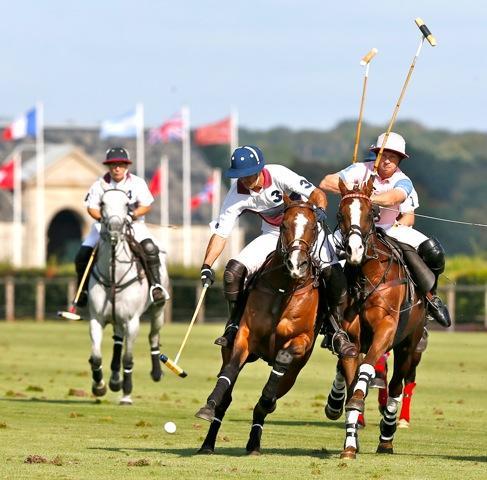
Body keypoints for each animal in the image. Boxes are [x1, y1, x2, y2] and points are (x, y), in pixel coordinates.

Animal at [87, 188, 170, 404]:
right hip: (117, 317)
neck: (114, 275)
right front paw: (99, 386)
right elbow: (97, 357)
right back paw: (114, 379)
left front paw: (126, 393)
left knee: (153, 336)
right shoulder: (96, 319)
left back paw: (156, 372)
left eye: (127, 204)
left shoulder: (132, 321)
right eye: (102, 203)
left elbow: (128, 358)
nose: (115, 228)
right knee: (117, 341)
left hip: (158, 311)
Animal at [194, 195, 324, 454]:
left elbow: (282, 360)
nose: (297, 265)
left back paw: (255, 439)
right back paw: (208, 443)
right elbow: (230, 371)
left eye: (314, 227)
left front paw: (267, 399)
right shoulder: (245, 336)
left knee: (269, 398)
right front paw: (208, 406)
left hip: (294, 373)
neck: (284, 287)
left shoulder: (302, 340)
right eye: (284, 225)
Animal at [324, 178, 428, 460]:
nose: (354, 250)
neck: (366, 278)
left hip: (409, 345)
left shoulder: (385, 331)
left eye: (371, 213)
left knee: (396, 387)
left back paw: (388, 435)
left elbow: (367, 375)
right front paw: (350, 444)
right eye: (340, 214)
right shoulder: (351, 340)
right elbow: (353, 390)